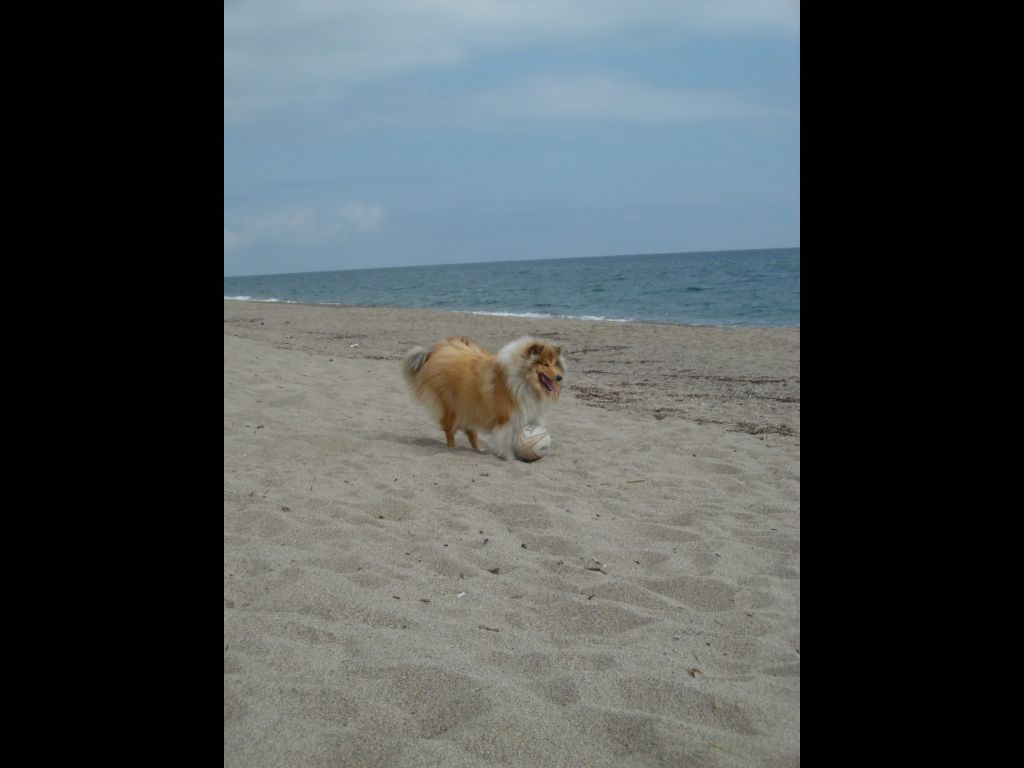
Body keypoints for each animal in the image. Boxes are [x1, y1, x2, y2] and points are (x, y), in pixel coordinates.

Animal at [399, 335, 565, 456]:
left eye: (554, 364)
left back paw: (479, 449)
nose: (559, 377)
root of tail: (437, 350)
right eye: (545, 364)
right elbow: (505, 438)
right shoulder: (506, 417)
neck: (524, 378)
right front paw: (507, 456)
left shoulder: (528, 414)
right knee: (449, 430)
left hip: (469, 407)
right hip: (451, 406)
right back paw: (452, 447)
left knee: (470, 432)